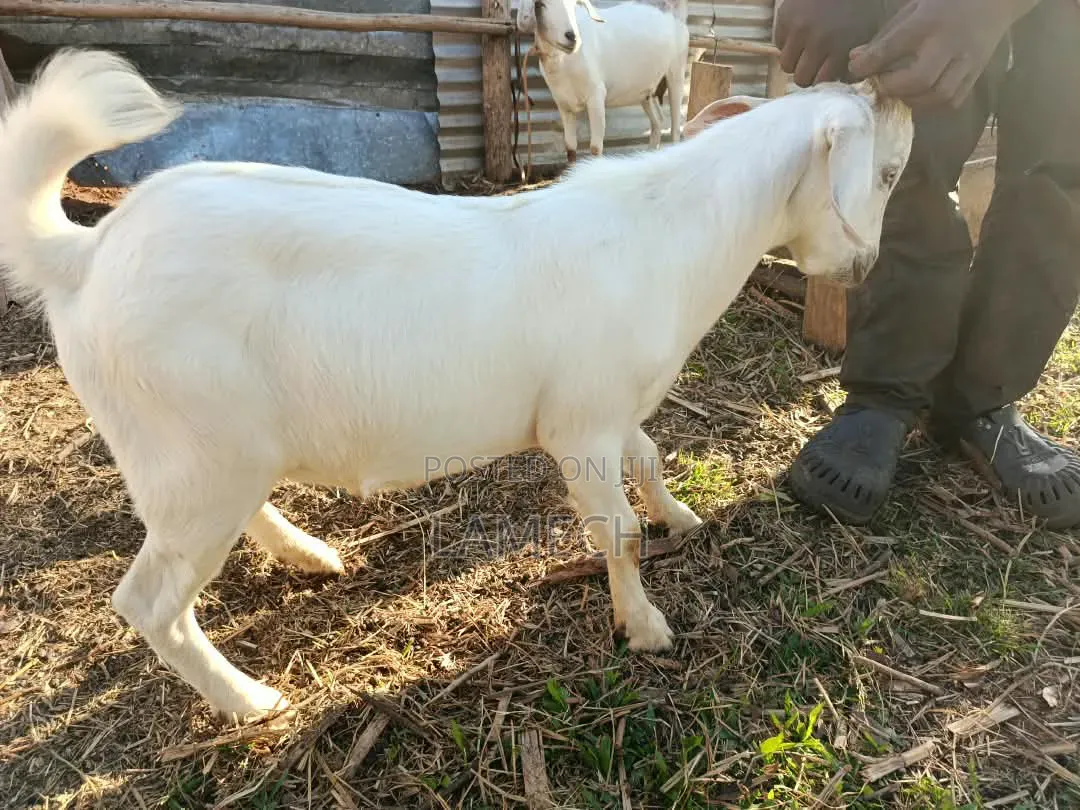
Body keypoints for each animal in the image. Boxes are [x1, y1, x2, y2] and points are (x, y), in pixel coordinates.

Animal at [0, 49, 912, 722]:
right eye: (889, 172)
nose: (866, 265)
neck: (667, 234)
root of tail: (85, 253)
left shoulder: (609, 404)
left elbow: (651, 459)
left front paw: (681, 517)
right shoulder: (580, 425)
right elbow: (614, 534)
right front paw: (646, 627)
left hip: (213, 449)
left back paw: (310, 555)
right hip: (190, 449)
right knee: (148, 600)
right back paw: (252, 701)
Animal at [517, 0, 690, 162]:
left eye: (573, 5)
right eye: (540, 4)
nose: (572, 37)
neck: (564, 60)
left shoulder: (596, 95)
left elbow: (595, 148)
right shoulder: (563, 104)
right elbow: (570, 148)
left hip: (677, 70)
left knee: (675, 128)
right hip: (646, 89)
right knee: (657, 122)